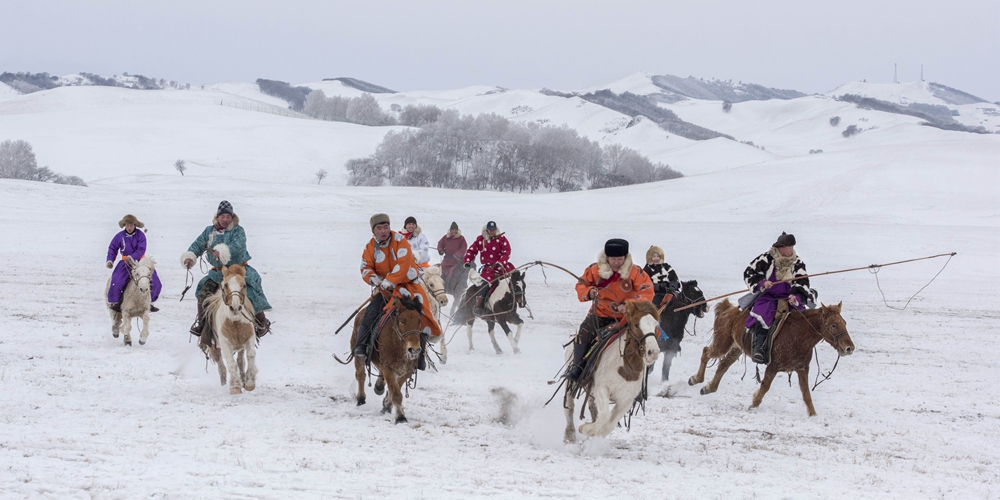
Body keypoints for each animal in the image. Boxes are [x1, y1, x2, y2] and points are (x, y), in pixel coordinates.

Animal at [202, 266, 258, 394]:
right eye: (226, 285)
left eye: (244, 285)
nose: (235, 307)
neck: (235, 322)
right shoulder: (224, 343)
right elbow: (231, 363)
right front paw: (235, 387)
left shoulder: (249, 338)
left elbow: (251, 355)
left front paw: (249, 383)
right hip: (213, 347)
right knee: (221, 367)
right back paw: (224, 384)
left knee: (241, 361)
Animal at [352, 294, 422, 424]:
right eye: (402, 321)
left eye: (419, 321)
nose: (414, 349)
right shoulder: (388, 368)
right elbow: (396, 393)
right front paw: (400, 417)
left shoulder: (407, 371)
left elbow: (396, 389)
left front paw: (387, 405)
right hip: (358, 356)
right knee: (361, 375)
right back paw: (360, 399)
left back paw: (379, 387)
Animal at [564, 298, 664, 444]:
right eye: (636, 324)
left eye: (656, 325)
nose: (653, 352)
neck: (625, 369)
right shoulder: (602, 388)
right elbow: (604, 416)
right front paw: (585, 428)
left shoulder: (626, 400)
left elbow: (609, 425)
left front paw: (593, 434)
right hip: (571, 381)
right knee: (569, 406)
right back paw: (569, 435)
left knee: (592, 406)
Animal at [688, 298, 860, 416]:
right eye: (833, 325)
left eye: (844, 322)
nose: (849, 348)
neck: (799, 334)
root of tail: (728, 309)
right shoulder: (773, 366)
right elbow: (765, 387)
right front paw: (752, 404)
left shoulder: (802, 369)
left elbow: (806, 395)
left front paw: (813, 415)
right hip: (722, 343)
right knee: (706, 352)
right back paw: (696, 379)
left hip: (736, 348)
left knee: (723, 365)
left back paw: (708, 388)